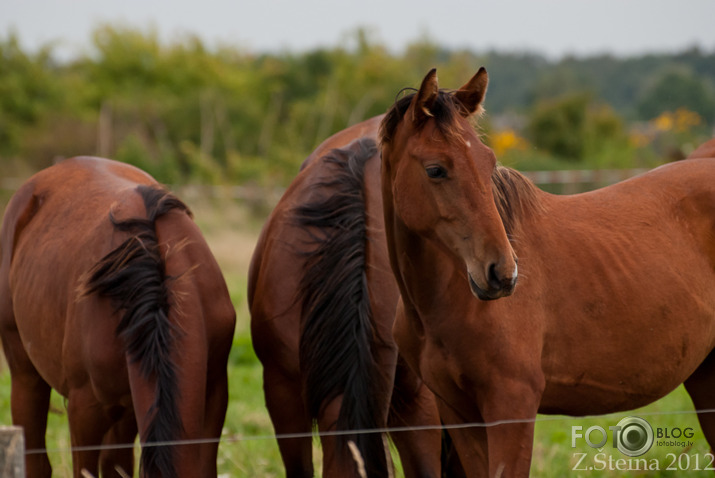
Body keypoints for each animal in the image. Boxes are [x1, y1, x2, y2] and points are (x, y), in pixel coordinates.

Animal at [384, 69, 715, 476]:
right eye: (435, 169)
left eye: (489, 164)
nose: (503, 274)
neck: (446, 302)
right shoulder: (460, 415)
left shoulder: (512, 407)